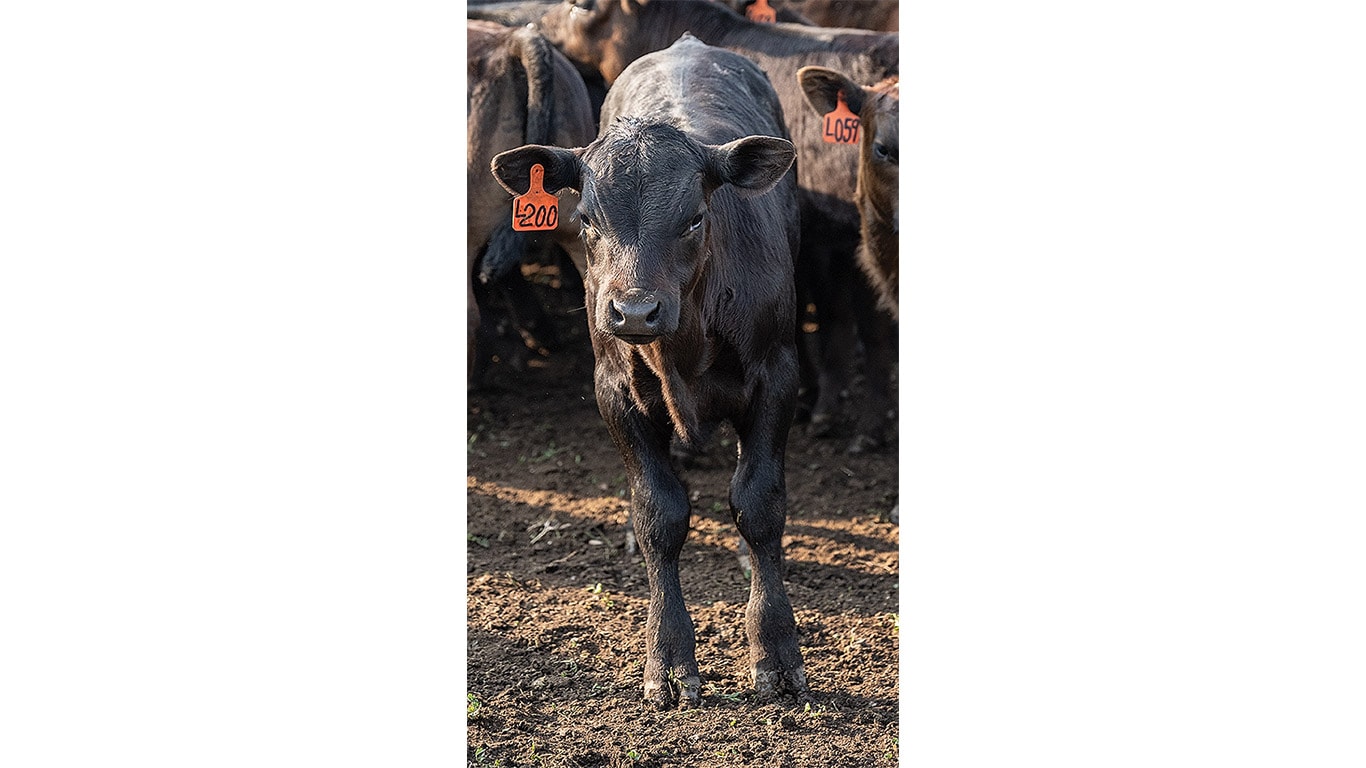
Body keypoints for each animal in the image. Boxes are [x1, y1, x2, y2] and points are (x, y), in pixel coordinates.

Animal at [491, 34, 809, 709]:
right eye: (587, 218)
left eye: (693, 217)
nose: (634, 310)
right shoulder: (615, 392)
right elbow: (660, 513)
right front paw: (669, 658)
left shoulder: (778, 377)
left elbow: (759, 505)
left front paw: (775, 651)